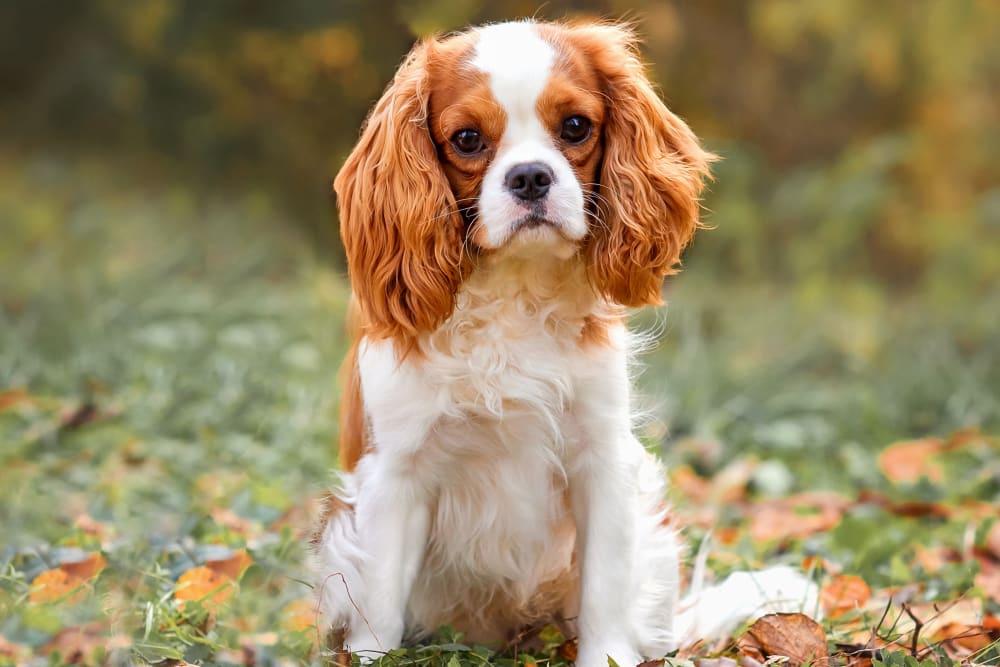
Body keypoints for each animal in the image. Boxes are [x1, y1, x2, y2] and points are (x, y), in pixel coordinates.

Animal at [314, 18, 820, 664]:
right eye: (467, 139)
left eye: (576, 126)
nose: (531, 177)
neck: (516, 292)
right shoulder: (394, 475)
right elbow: (378, 604)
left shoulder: (601, 462)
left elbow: (605, 589)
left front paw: (607, 654)